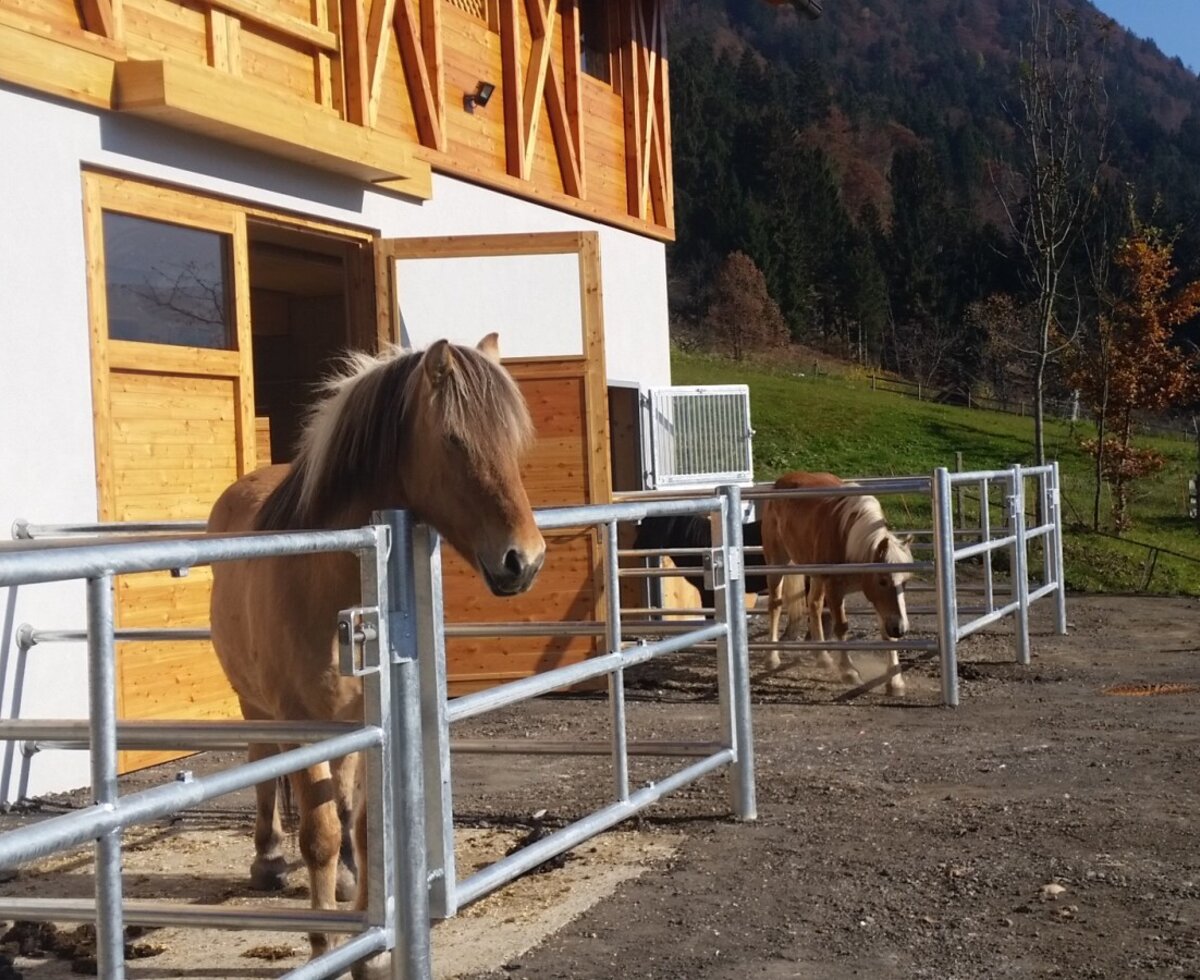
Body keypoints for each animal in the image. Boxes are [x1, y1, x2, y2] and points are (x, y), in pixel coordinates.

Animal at [207, 334, 545, 977]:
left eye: (517, 442)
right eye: (454, 440)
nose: (526, 561)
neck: (324, 581)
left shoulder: (373, 719)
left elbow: (363, 827)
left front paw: (373, 944)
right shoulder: (304, 723)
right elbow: (317, 834)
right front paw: (326, 946)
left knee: (338, 800)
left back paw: (342, 881)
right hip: (254, 702)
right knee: (264, 764)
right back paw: (269, 859)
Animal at [761, 471, 913, 695]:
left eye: (906, 582)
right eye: (882, 581)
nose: (900, 629)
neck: (849, 540)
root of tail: (783, 480)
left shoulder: (877, 600)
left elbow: (885, 633)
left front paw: (895, 681)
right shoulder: (835, 589)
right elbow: (841, 627)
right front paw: (849, 672)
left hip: (815, 574)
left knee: (814, 605)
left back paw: (822, 657)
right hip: (777, 562)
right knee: (775, 605)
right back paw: (772, 657)